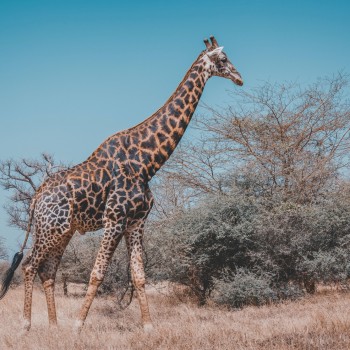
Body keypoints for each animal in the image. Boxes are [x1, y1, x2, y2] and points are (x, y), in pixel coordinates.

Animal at [0, 35, 243, 330]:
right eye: (223, 59)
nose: (239, 78)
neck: (147, 162)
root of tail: (36, 198)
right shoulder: (114, 219)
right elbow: (97, 273)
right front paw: (78, 326)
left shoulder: (136, 221)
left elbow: (139, 275)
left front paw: (148, 326)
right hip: (50, 228)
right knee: (29, 265)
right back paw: (26, 325)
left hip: (63, 231)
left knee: (48, 271)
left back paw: (54, 326)